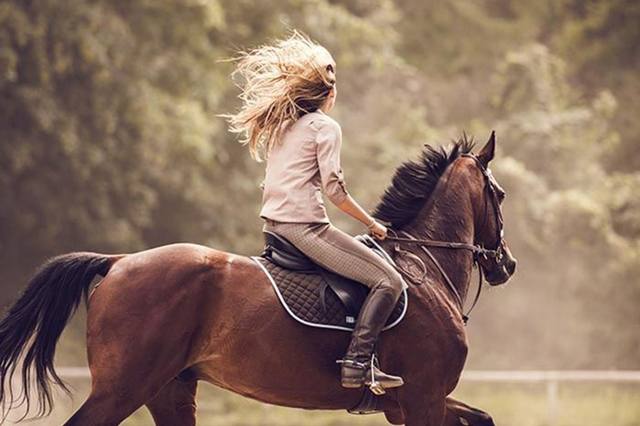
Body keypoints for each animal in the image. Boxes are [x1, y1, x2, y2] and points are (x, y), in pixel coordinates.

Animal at [0, 132, 516, 425]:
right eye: (501, 195)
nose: (506, 265)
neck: (423, 264)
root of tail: (119, 260)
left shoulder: (410, 403)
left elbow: (485, 417)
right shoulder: (424, 397)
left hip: (170, 390)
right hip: (124, 388)